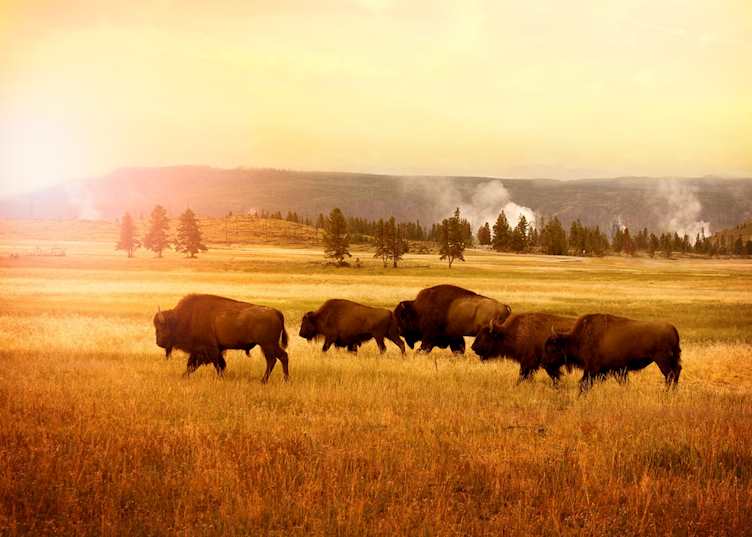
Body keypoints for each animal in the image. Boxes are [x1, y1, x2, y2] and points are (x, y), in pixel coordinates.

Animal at [153, 294, 289, 383]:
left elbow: (217, 365)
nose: (159, 343)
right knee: (276, 359)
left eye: (161, 327)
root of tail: (276, 312)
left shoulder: (209, 349)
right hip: (269, 345)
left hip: (268, 345)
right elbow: (192, 365)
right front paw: (183, 376)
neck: (183, 318)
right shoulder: (204, 350)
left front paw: (220, 378)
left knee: (277, 358)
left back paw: (271, 380)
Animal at [542, 313, 681, 392]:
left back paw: (666, 393)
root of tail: (672, 328)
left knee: (670, 375)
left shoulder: (592, 369)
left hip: (662, 360)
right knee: (676, 372)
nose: (544, 364)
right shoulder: (618, 370)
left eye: (552, 348)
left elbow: (584, 383)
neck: (577, 339)